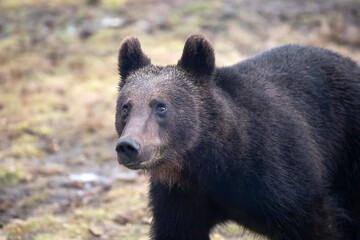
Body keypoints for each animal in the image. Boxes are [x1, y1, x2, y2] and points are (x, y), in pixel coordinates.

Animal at [114, 34, 360, 240]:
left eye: (161, 107)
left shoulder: (283, 177)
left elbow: (317, 223)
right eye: (126, 107)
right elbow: (178, 229)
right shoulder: (180, 197)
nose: (128, 146)